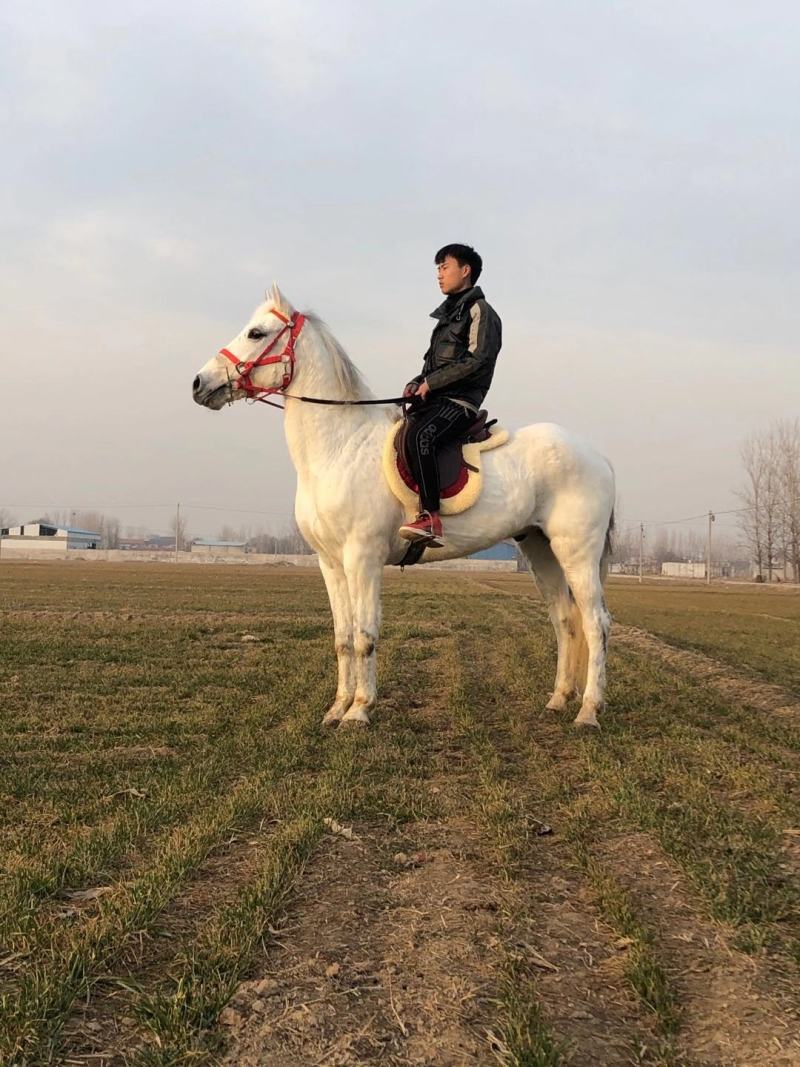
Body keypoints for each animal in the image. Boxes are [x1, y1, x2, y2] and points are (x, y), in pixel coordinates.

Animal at [192, 285, 616, 729]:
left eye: (256, 333)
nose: (199, 383)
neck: (340, 447)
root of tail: (598, 457)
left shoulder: (363, 558)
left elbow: (364, 636)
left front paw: (359, 711)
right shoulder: (331, 563)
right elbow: (343, 639)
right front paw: (336, 708)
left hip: (577, 553)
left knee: (595, 624)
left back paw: (588, 711)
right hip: (540, 549)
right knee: (565, 621)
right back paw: (558, 700)